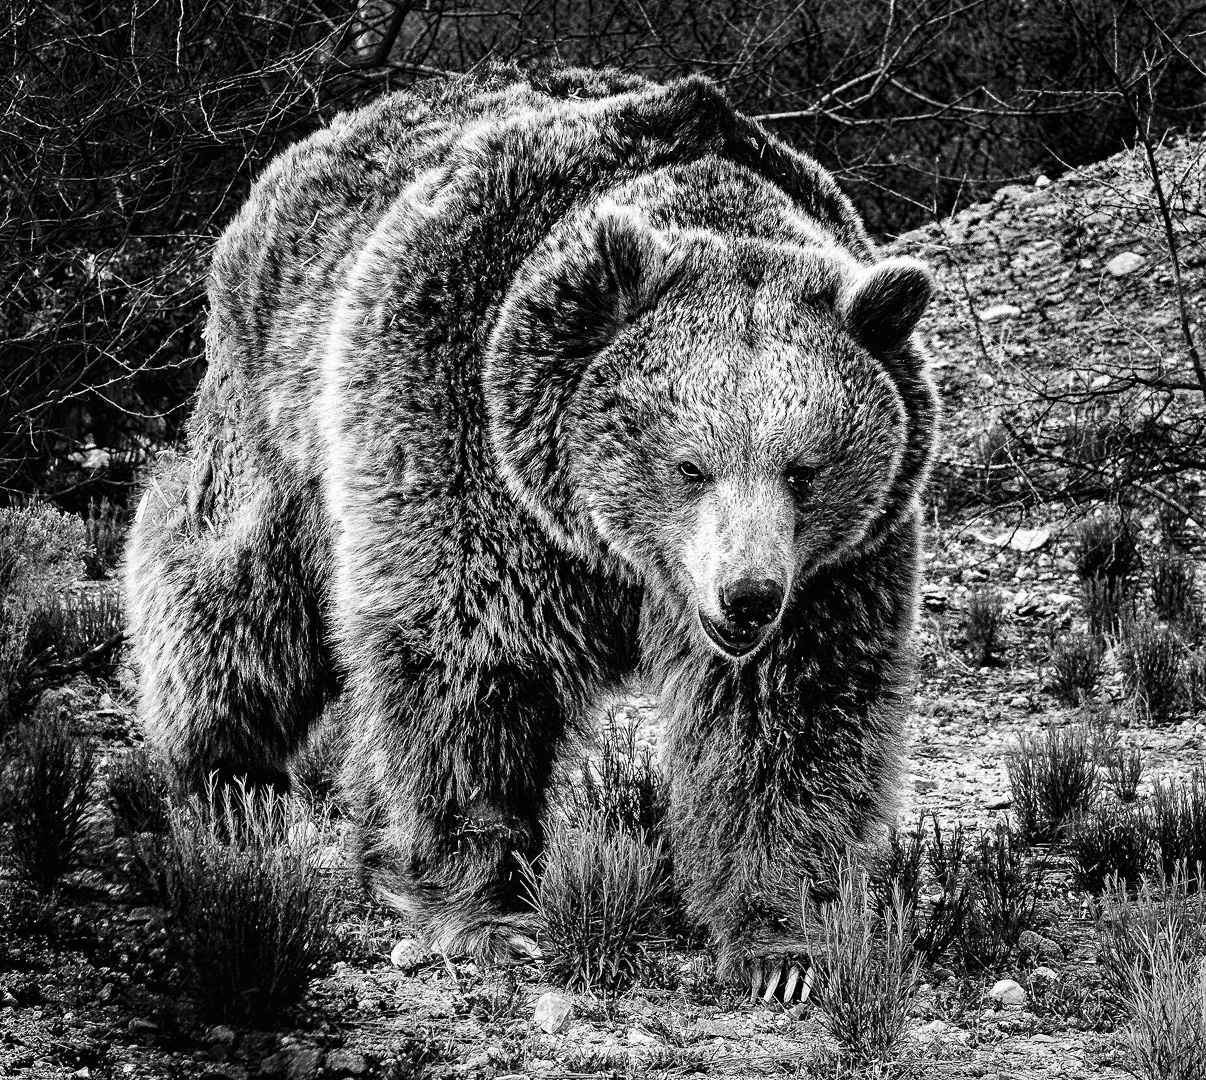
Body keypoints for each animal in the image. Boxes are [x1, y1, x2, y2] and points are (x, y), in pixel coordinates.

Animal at [125, 63, 939, 998]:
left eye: (802, 469)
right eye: (689, 466)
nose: (747, 597)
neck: (615, 550)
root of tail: (335, 129)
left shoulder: (838, 568)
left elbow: (789, 718)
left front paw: (785, 948)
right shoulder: (471, 446)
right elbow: (470, 667)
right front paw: (486, 914)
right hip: (284, 397)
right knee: (241, 585)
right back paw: (225, 774)